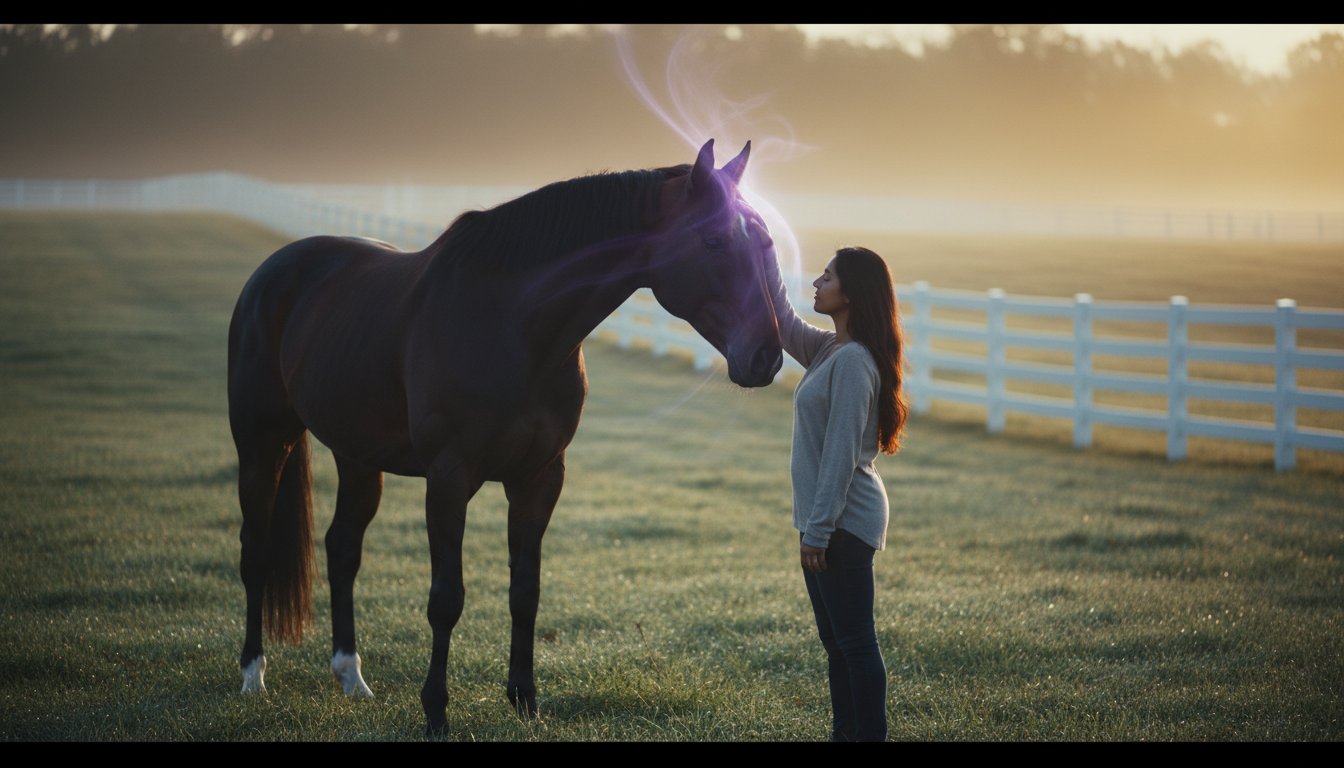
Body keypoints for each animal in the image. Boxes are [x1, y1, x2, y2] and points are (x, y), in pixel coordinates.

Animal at [226, 139, 783, 734]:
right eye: (714, 240)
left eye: (765, 241)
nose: (767, 356)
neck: (515, 326)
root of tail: (277, 268)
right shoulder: (449, 478)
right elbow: (447, 599)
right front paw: (436, 713)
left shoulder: (539, 478)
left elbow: (525, 592)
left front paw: (525, 701)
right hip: (263, 445)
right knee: (256, 550)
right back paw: (253, 677)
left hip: (358, 456)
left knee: (342, 549)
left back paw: (352, 678)